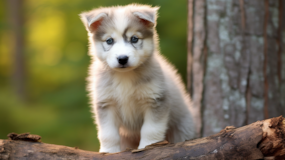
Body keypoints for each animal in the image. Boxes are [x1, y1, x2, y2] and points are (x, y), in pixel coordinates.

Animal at [80, 3, 195, 153]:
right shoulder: (105, 103)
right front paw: (109, 151)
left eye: (134, 39)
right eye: (109, 41)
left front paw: (148, 146)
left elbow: (150, 129)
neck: (125, 76)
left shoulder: (156, 100)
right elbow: (108, 133)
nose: (122, 58)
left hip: (182, 127)